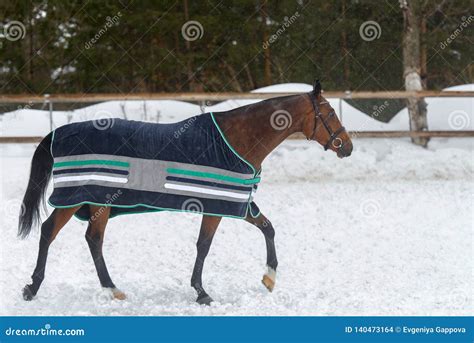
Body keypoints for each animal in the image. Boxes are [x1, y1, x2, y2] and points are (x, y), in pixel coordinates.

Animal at [17, 81, 352, 306]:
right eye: (329, 113)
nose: (346, 146)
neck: (235, 140)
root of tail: (58, 133)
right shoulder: (217, 205)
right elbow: (204, 245)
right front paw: (202, 292)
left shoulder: (238, 203)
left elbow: (267, 228)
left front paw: (269, 278)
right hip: (75, 199)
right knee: (54, 233)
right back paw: (38, 288)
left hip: (95, 202)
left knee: (87, 238)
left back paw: (103, 289)